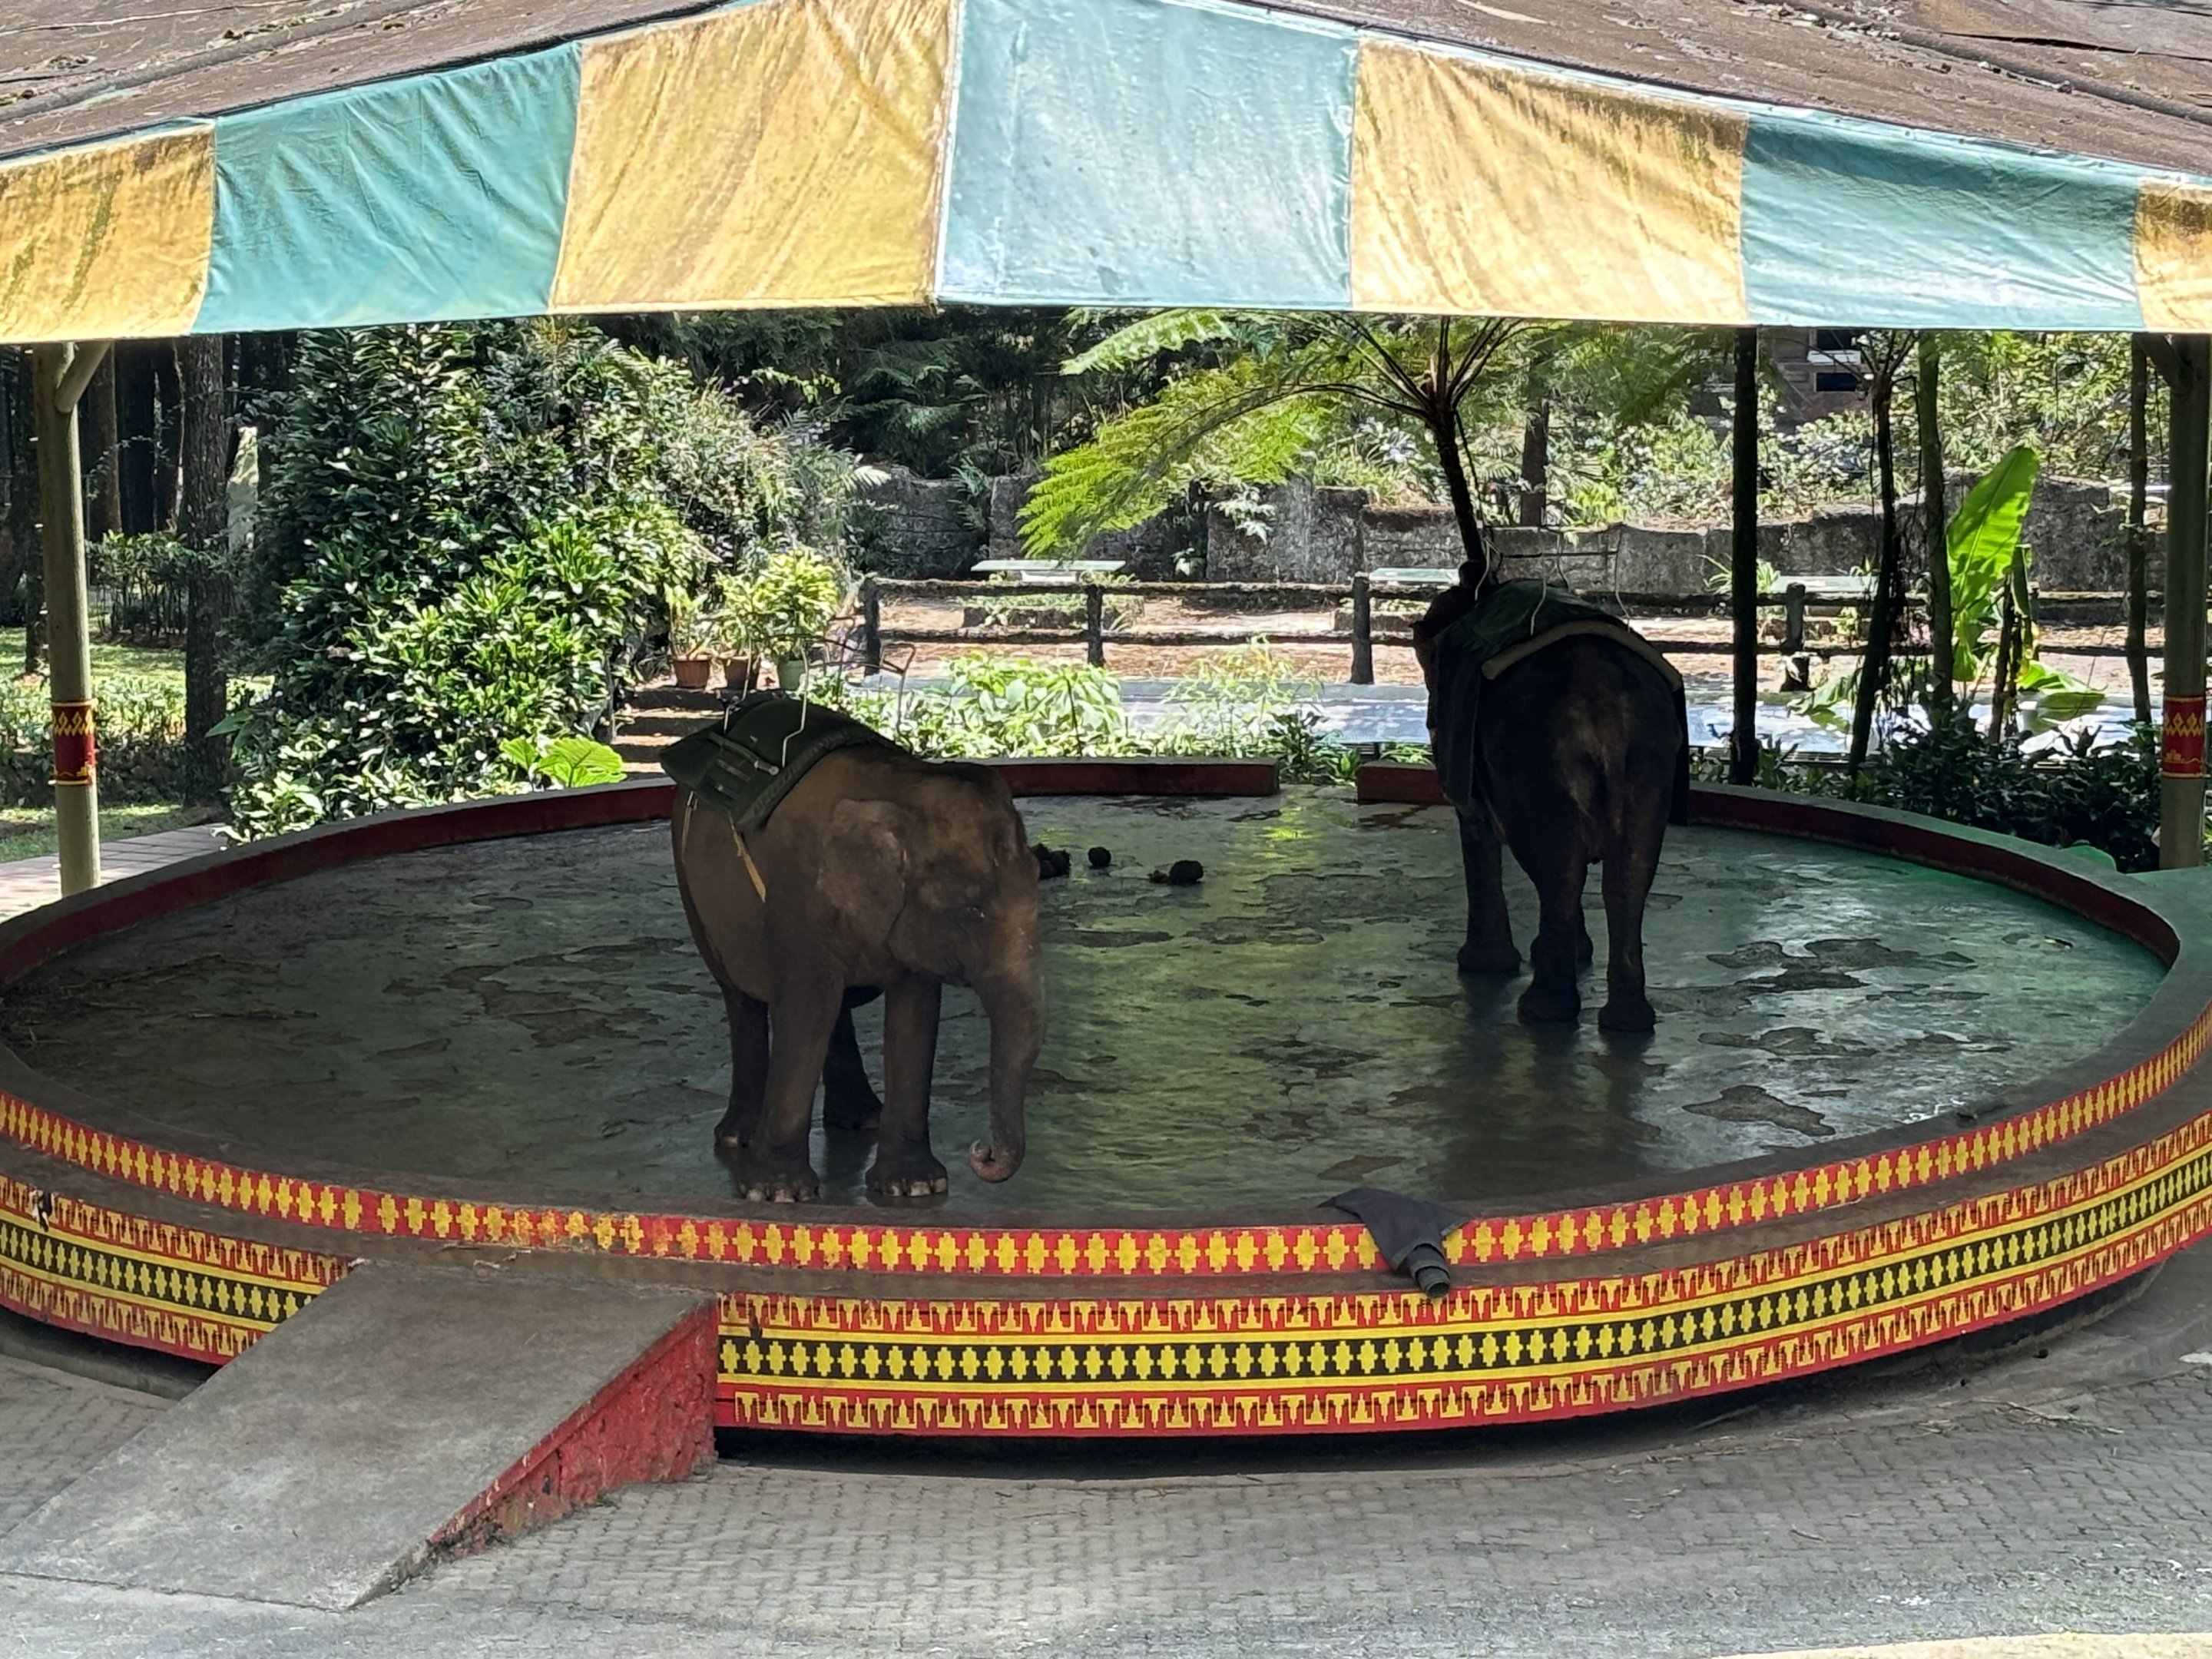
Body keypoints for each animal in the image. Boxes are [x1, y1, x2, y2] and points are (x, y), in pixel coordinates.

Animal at [671, 744, 1043, 1203]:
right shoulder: (799, 899)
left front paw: (913, 1187)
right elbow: (806, 1009)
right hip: (693, 895)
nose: (982, 1151)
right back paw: (736, 1138)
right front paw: (777, 1194)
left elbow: (914, 1015)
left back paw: (861, 1118)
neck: (904, 784)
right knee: (741, 997)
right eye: (972, 910)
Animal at [1413, 577, 1686, 1033]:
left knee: (1558, 871)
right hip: (1652, 757)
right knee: (1629, 874)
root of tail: (1606, 709)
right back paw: (1627, 1022)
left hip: (1537, 760)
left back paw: (1541, 1012)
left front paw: (1481, 966)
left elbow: (1475, 823)